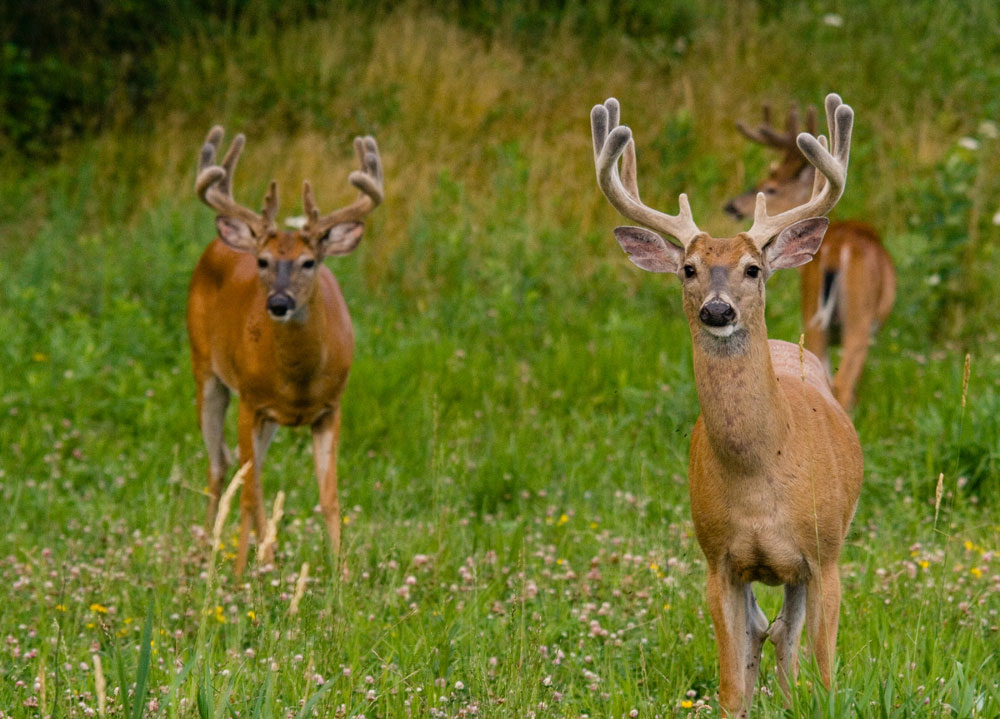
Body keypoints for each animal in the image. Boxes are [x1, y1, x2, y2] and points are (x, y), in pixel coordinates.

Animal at [188, 124, 382, 572]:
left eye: (309, 262)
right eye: (262, 261)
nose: (278, 302)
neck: (299, 383)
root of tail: (218, 243)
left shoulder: (331, 408)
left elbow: (330, 499)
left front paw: (341, 575)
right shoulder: (250, 400)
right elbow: (248, 494)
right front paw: (239, 575)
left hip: (267, 418)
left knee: (246, 468)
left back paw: (265, 554)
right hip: (206, 368)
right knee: (222, 466)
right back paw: (214, 551)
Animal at [588, 94, 864, 716]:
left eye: (753, 268)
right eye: (688, 269)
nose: (717, 310)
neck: (764, 474)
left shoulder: (826, 556)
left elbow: (825, 673)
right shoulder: (717, 560)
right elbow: (731, 685)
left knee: (787, 635)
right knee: (769, 633)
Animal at [724, 104, 896, 414]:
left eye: (770, 187)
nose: (731, 206)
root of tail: (836, 253)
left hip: (813, 314)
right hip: (857, 316)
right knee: (843, 384)